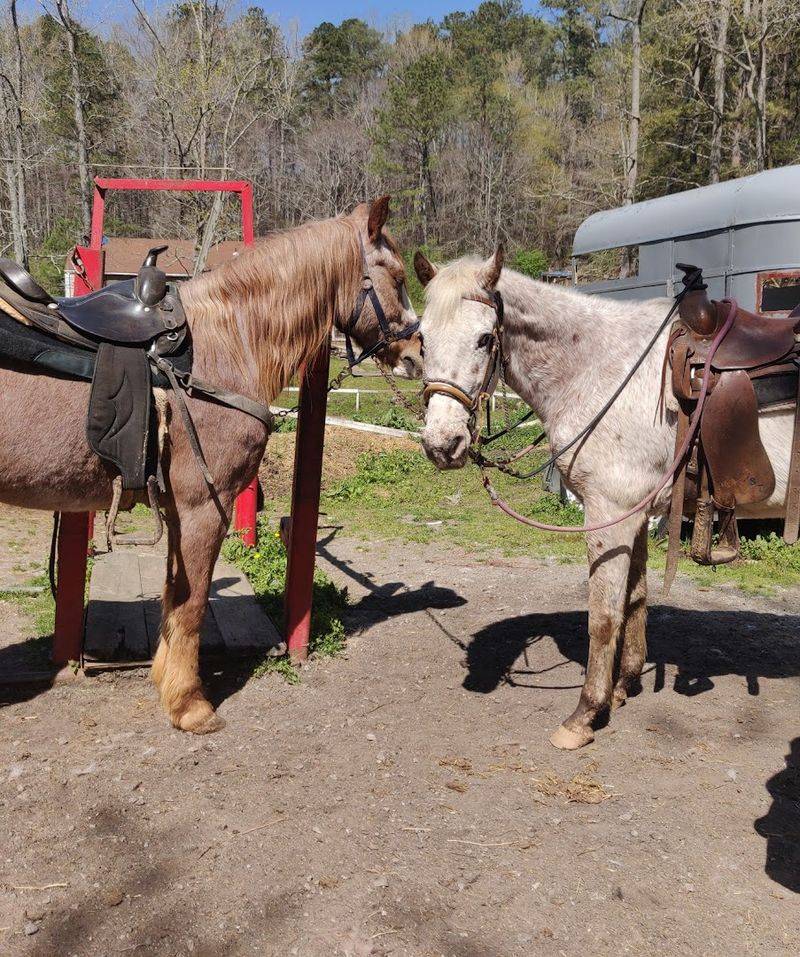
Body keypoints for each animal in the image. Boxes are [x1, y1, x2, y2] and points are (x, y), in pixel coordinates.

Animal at [0, 197, 421, 734]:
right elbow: (191, 603)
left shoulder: (181, 512)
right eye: (396, 275)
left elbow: (173, 597)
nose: (417, 353)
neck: (226, 343)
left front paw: (168, 682)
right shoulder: (204, 506)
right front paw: (189, 704)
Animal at [413, 247, 794, 750]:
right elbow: (635, 598)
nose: (443, 444)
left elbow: (604, 615)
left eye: (483, 338)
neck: (599, 369)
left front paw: (586, 714)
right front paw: (624, 686)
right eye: (421, 339)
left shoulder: (608, 512)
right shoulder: (635, 513)